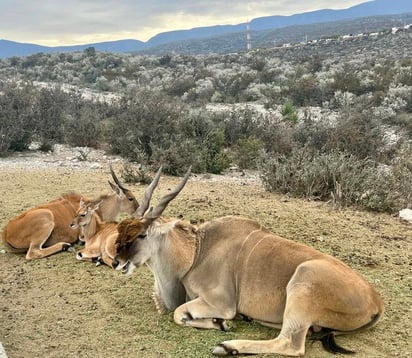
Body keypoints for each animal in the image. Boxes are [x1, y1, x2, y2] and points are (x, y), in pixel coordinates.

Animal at [0, 165, 140, 260]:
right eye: (130, 198)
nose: (139, 210)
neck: (98, 209)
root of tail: (5, 233)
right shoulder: (83, 235)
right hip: (46, 216)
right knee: (33, 252)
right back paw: (65, 246)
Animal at [112, 169, 384, 358]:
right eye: (121, 230)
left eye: (141, 235)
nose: (116, 262)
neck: (197, 252)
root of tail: (376, 301)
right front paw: (221, 323)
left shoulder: (221, 303)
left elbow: (179, 313)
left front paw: (222, 324)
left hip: (303, 281)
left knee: (291, 344)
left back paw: (227, 347)